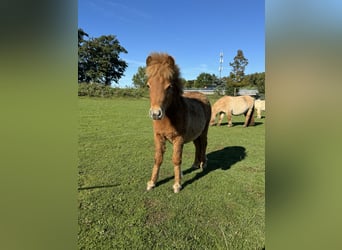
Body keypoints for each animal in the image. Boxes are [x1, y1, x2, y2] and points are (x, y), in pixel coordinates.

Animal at [146, 52, 211, 193]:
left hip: (204, 131)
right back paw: (195, 164)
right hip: (195, 134)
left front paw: (177, 185)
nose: (155, 114)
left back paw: (203, 164)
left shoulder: (178, 138)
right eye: (148, 85)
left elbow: (176, 160)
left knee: (203, 144)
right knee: (197, 145)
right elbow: (158, 159)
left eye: (169, 86)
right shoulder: (158, 137)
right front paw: (152, 183)